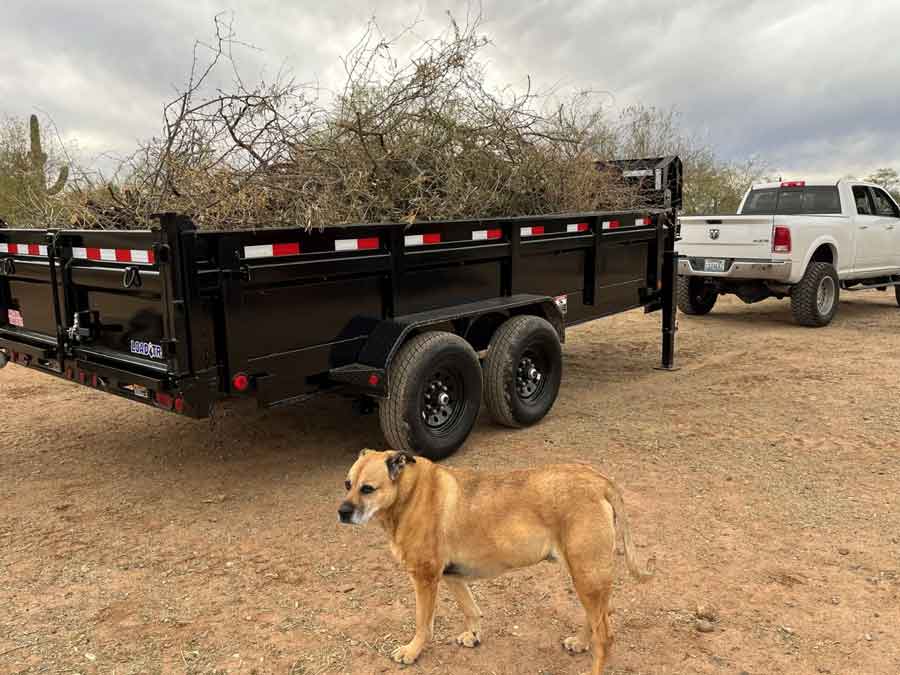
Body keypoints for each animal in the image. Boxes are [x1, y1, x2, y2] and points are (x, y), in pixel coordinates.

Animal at [340, 452, 652, 672]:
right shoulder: (451, 576)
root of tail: (599, 481)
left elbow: (422, 624)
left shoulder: (424, 578)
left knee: (606, 637)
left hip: (587, 576)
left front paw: (412, 651)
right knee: (598, 618)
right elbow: (470, 609)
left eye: (368, 489)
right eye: (347, 484)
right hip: (586, 576)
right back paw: (581, 642)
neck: (410, 491)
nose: (341, 512)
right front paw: (473, 635)